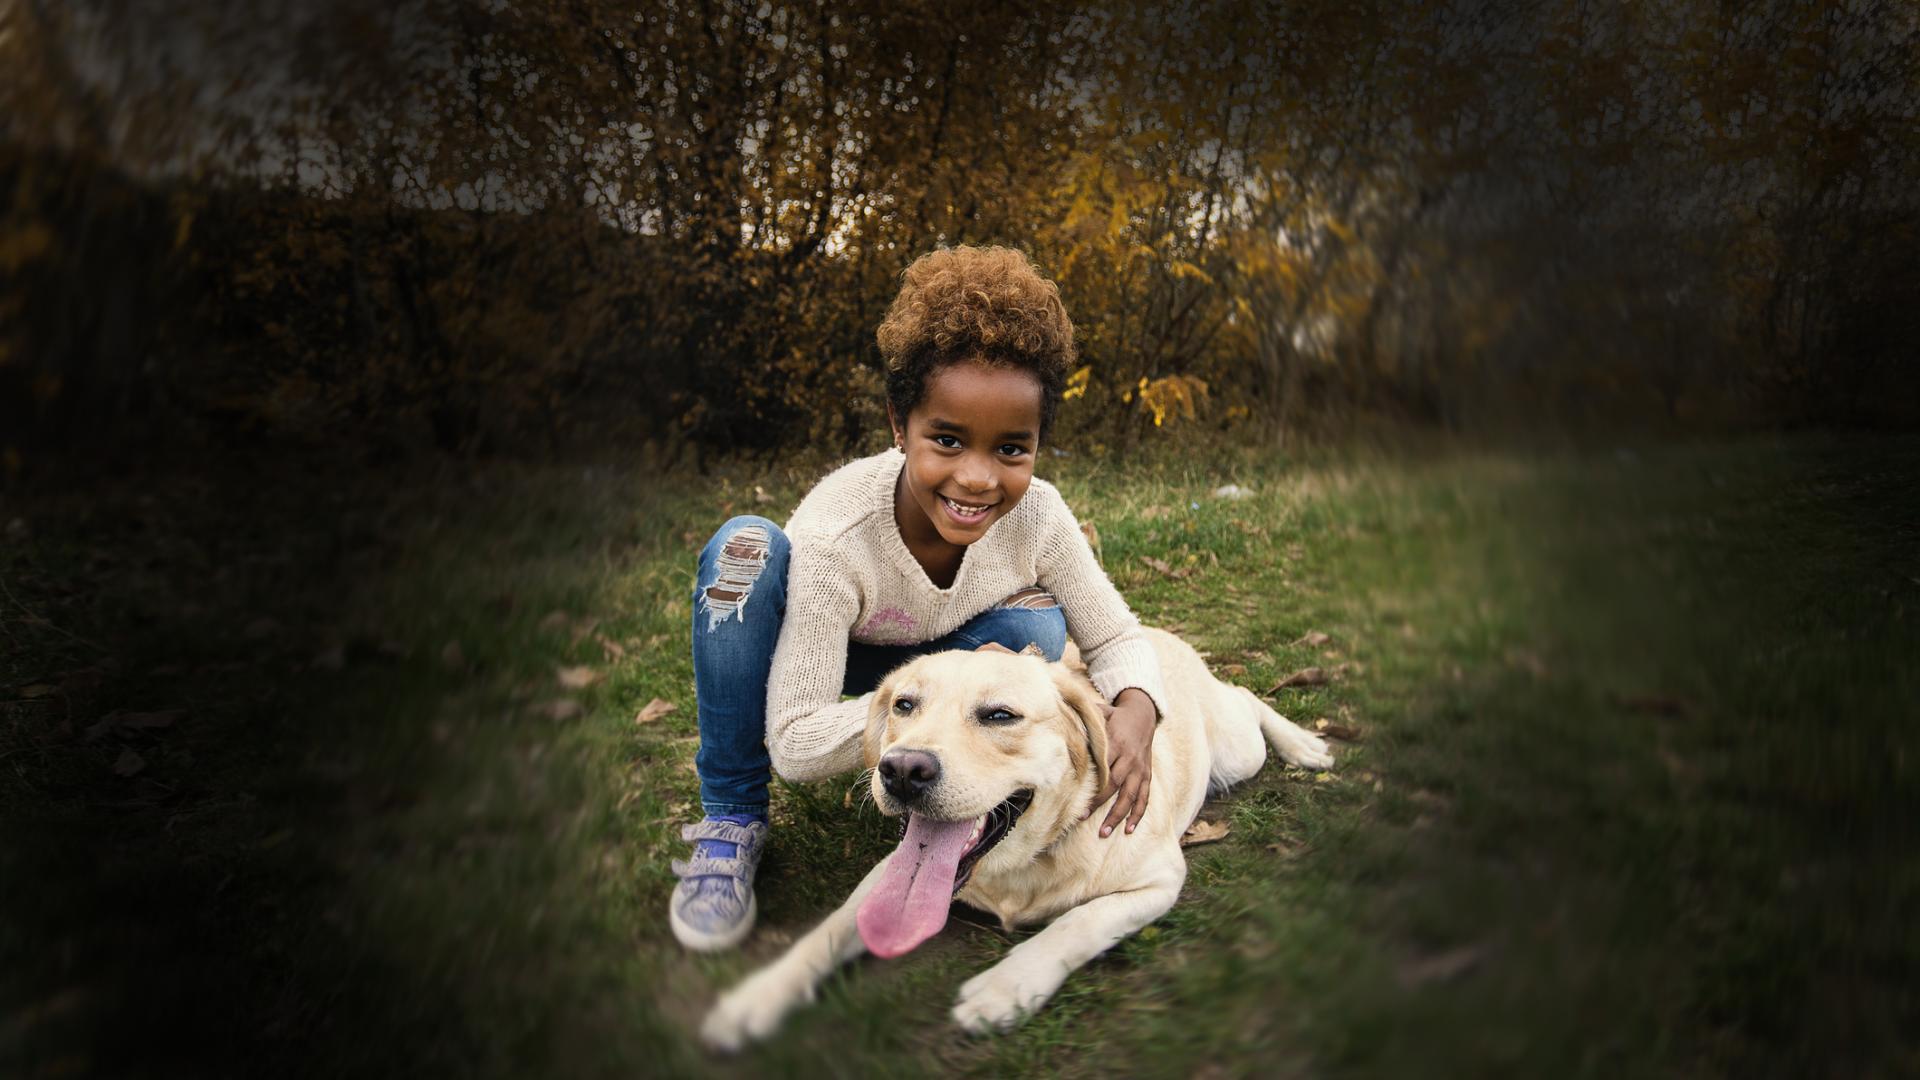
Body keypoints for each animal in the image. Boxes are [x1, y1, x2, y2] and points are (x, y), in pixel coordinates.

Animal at [702, 626, 1336, 1045]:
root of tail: (1157, 630)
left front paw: (1005, 987)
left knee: (1247, 698)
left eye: (1000, 716)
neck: (1015, 867)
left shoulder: (1158, 880)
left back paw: (1305, 744)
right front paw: (760, 994)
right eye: (904, 704)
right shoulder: (886, 875)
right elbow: (830, 930)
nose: (901, 770)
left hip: (1239, 751)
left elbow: (1076, 924)